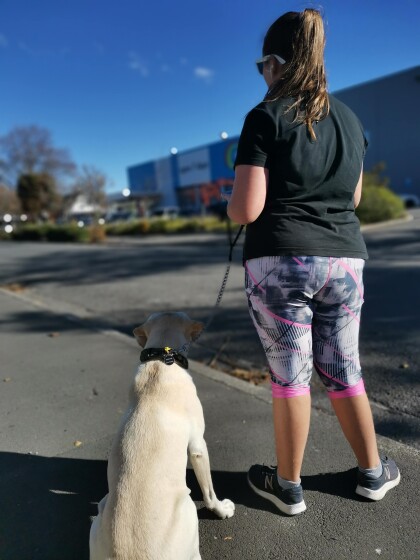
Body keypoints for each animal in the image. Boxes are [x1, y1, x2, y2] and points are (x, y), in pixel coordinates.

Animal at [89, 311, 235, 560]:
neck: (159, 360)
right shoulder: (198, 446)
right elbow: (209, 492)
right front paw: (221, 509)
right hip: (187, 506)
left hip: (97, 520)